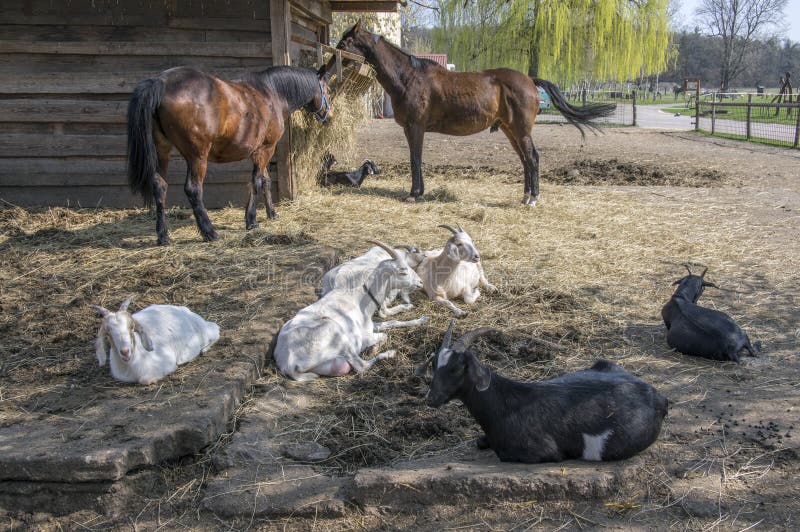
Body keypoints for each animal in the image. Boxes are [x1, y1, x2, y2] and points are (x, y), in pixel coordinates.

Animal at [90, 298, 219, 384]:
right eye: (108, 332)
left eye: (131, 328)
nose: (125, 351)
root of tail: (184, 310)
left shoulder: (166, 361)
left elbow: (145, 380)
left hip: (203, 332)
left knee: (216, 330)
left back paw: (204, 350)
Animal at [126, 65, 332, 245]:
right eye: (327, 90)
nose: (328, 117)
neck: (272, 93)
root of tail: (161, 82)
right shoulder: (266, 149)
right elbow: (256, 182)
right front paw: (251, 220)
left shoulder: (260, 151)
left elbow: (265, 181)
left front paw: (272, 213)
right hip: (197, 156)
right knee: (193, 189)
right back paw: (209, 232)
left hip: (163, 151)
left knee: (160, 186)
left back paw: (163, 236)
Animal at [274, 241, 428, 382]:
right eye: (403, 271)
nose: (421, 282)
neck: (360, 298)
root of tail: (288, 364)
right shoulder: (364, 336)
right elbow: (384, 335)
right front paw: (374, 348)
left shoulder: (370, 325)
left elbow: (392, 322)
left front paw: (421, 319)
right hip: (337, 335)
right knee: (362, 366)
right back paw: (390, 353)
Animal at [332, 22, 612, 206]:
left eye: (345, 42)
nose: (330, 60)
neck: (409, 77)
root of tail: (530, 80)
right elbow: (416, 159)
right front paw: (418, 192)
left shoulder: (415, 127)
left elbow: (415, 159)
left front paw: (415, 193)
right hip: (511, 131)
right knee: (525, 160)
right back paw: (524, 196)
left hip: (521, 131)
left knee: (532, 158)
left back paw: (532, 198)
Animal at [418, 322, 668, 464]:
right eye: (434, 365)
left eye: (456, 368)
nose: (431, 399)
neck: (503, 402)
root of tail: (658, 396)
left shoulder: (544, 452)